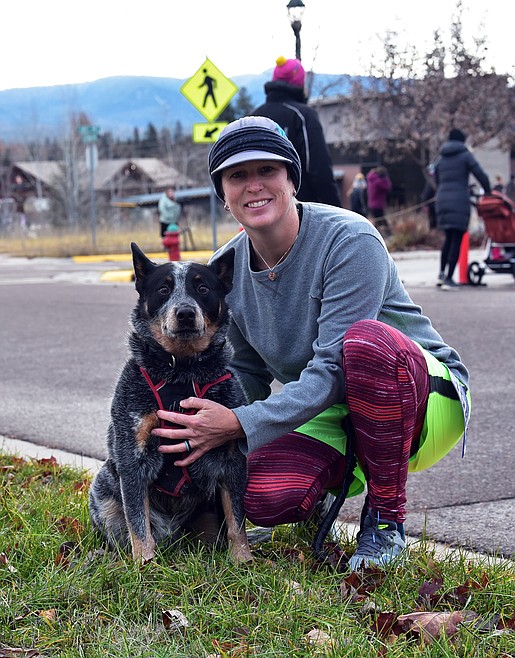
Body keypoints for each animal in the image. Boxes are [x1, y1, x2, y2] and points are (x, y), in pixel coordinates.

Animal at [89, 243, 254, 560]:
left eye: (203, 288)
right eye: (164, 289)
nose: (186, 312)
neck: (181, 371)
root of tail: (173, 537)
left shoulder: (231, 457)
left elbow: (237, 521)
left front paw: (243, 560)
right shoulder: (132, 455)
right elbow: (138, 523)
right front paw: (144, 563)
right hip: (102, 490)